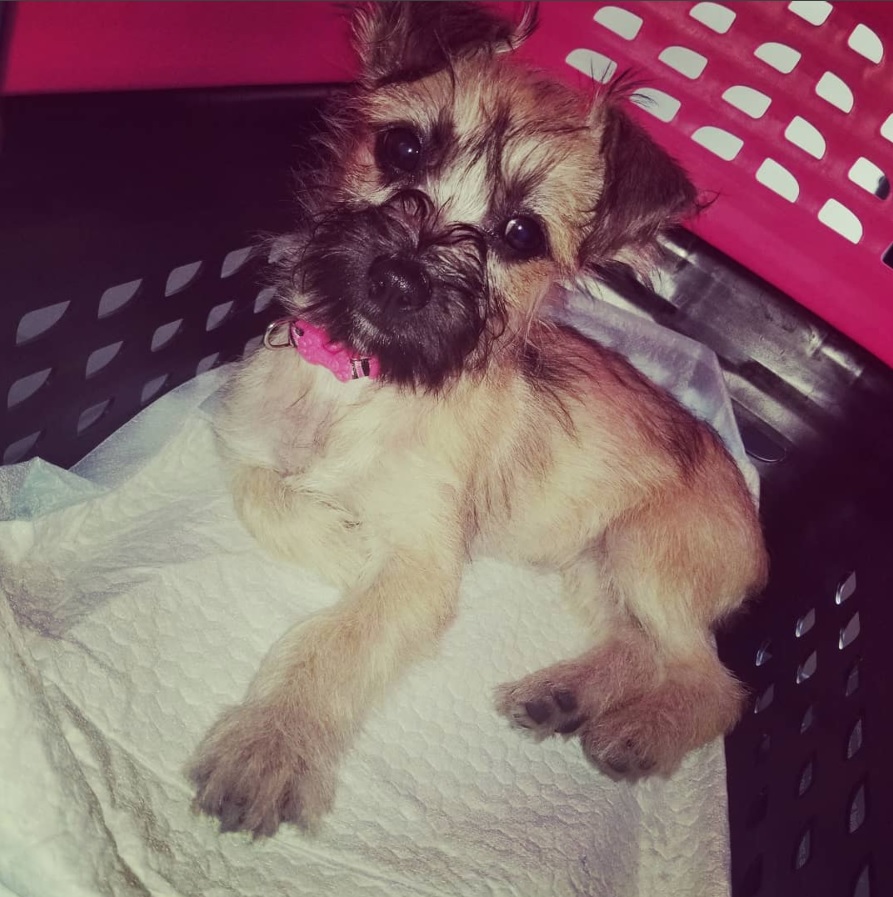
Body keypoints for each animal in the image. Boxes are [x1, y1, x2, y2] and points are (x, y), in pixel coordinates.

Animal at [188, 1, 768, 840]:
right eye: (401, 147)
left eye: (521, 234)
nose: (398, 278)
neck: (359, 381)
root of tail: (754, 508)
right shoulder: (243, 436)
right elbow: (264, 495)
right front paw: (340, 539)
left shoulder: (422, 562)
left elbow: (336, 640)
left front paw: (269, 742)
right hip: (589, 564)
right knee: (638, 647)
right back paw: (564, 695)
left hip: (646, 552)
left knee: (715, 681)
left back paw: (642, 730)